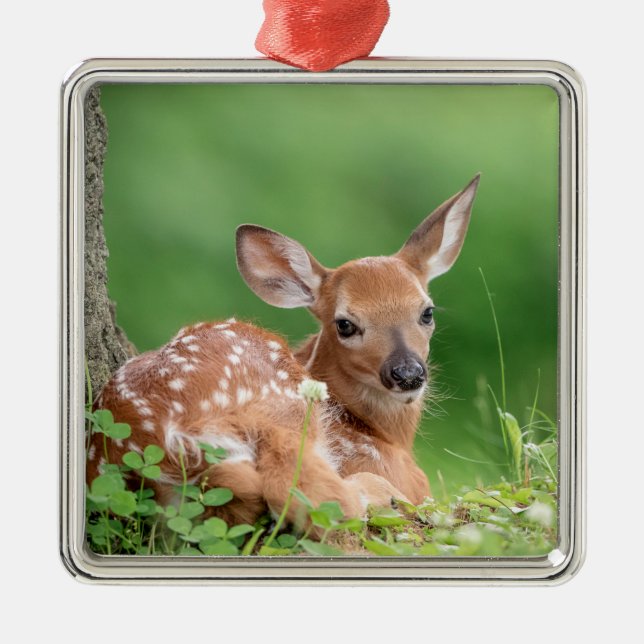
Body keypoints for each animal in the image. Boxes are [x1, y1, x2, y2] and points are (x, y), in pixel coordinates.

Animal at [87, 174, 480, 530]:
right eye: (345, 324)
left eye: (427, 311)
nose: (407, 373)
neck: (381, 433)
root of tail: (171, 443)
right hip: (283, 410)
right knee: (308, 495)